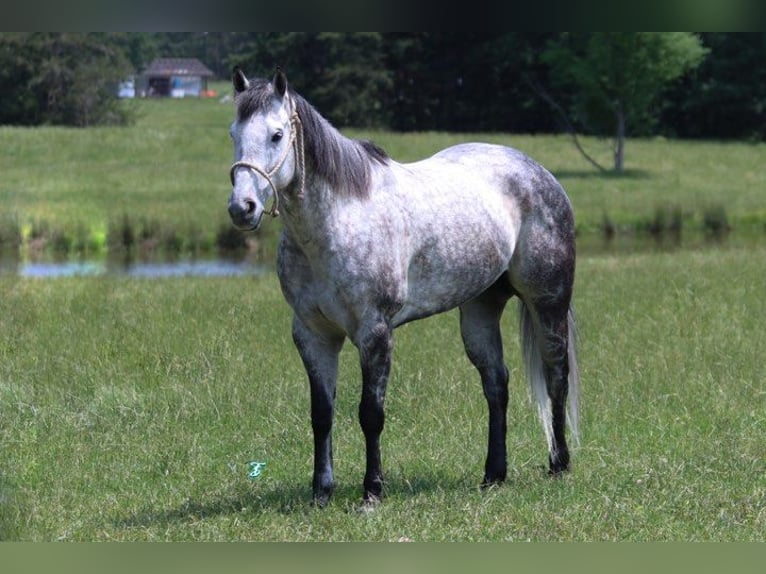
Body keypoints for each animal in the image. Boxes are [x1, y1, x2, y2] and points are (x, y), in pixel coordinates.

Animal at [228, 68, 584, 508]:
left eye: (277, 135)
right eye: (234, 133)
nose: (242, 208)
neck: (338, 221)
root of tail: (538, 172)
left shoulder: (375, 333)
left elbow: (370, 414)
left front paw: (372, 492)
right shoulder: (313, 335)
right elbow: (321, 414)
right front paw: (320, 494)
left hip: (547, 302)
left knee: (556, 376)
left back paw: (558, 464)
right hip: (480, 310)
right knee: (497, 385)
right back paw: (493, 475)